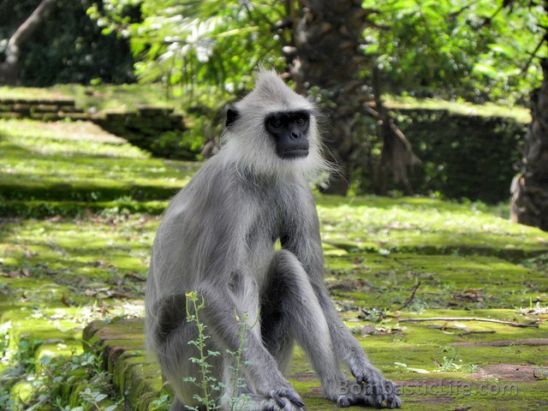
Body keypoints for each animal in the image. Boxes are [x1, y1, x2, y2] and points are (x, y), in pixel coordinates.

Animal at [146, 71, 402, 411]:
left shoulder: (296, 186)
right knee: (237, 280)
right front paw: (274, 385)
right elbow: (212, 288)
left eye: (299, 120)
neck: (258, 171)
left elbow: (314, 283)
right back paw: (241, 399)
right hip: (185, 364)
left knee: (288, 266)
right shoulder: (226, 191)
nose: (295, 135)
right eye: (277, 123)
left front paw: (364, 368)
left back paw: (336, 387)